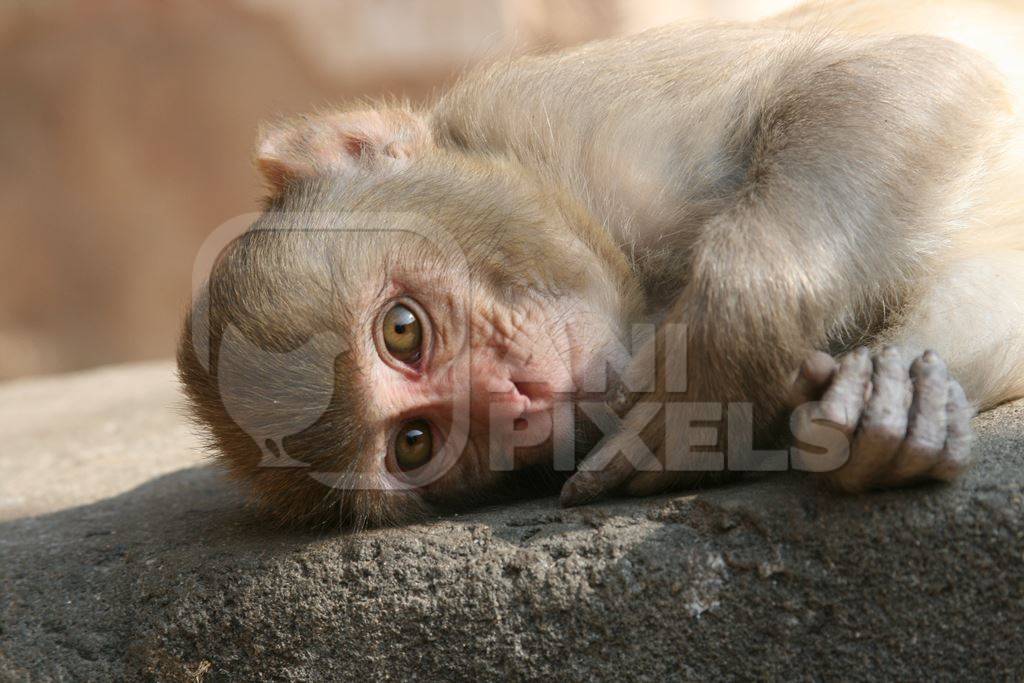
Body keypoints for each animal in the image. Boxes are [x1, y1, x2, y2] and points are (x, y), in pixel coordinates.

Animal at [180, 0, 1024, 528]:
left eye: (401, 331)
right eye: (416, 442)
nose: (515, 400)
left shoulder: (584, 119)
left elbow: (914, 75)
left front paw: (713, 374)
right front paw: (899, 398)